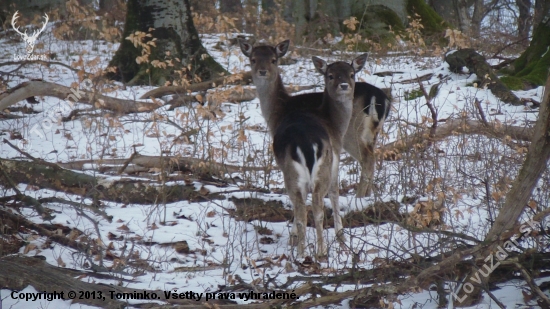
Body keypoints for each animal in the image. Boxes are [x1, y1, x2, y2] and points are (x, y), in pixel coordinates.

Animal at [239, 37, 368, 256]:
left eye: (273, 59)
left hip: (297, 171)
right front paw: (339, 238)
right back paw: (316, 251)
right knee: (312, 205)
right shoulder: (334, 156)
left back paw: (306, 252)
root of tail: (306, 144)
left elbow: (332, 194)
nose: (344, 85)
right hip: (314, 169)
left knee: (305, 206)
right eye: (253, 59)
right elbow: (333, 193)